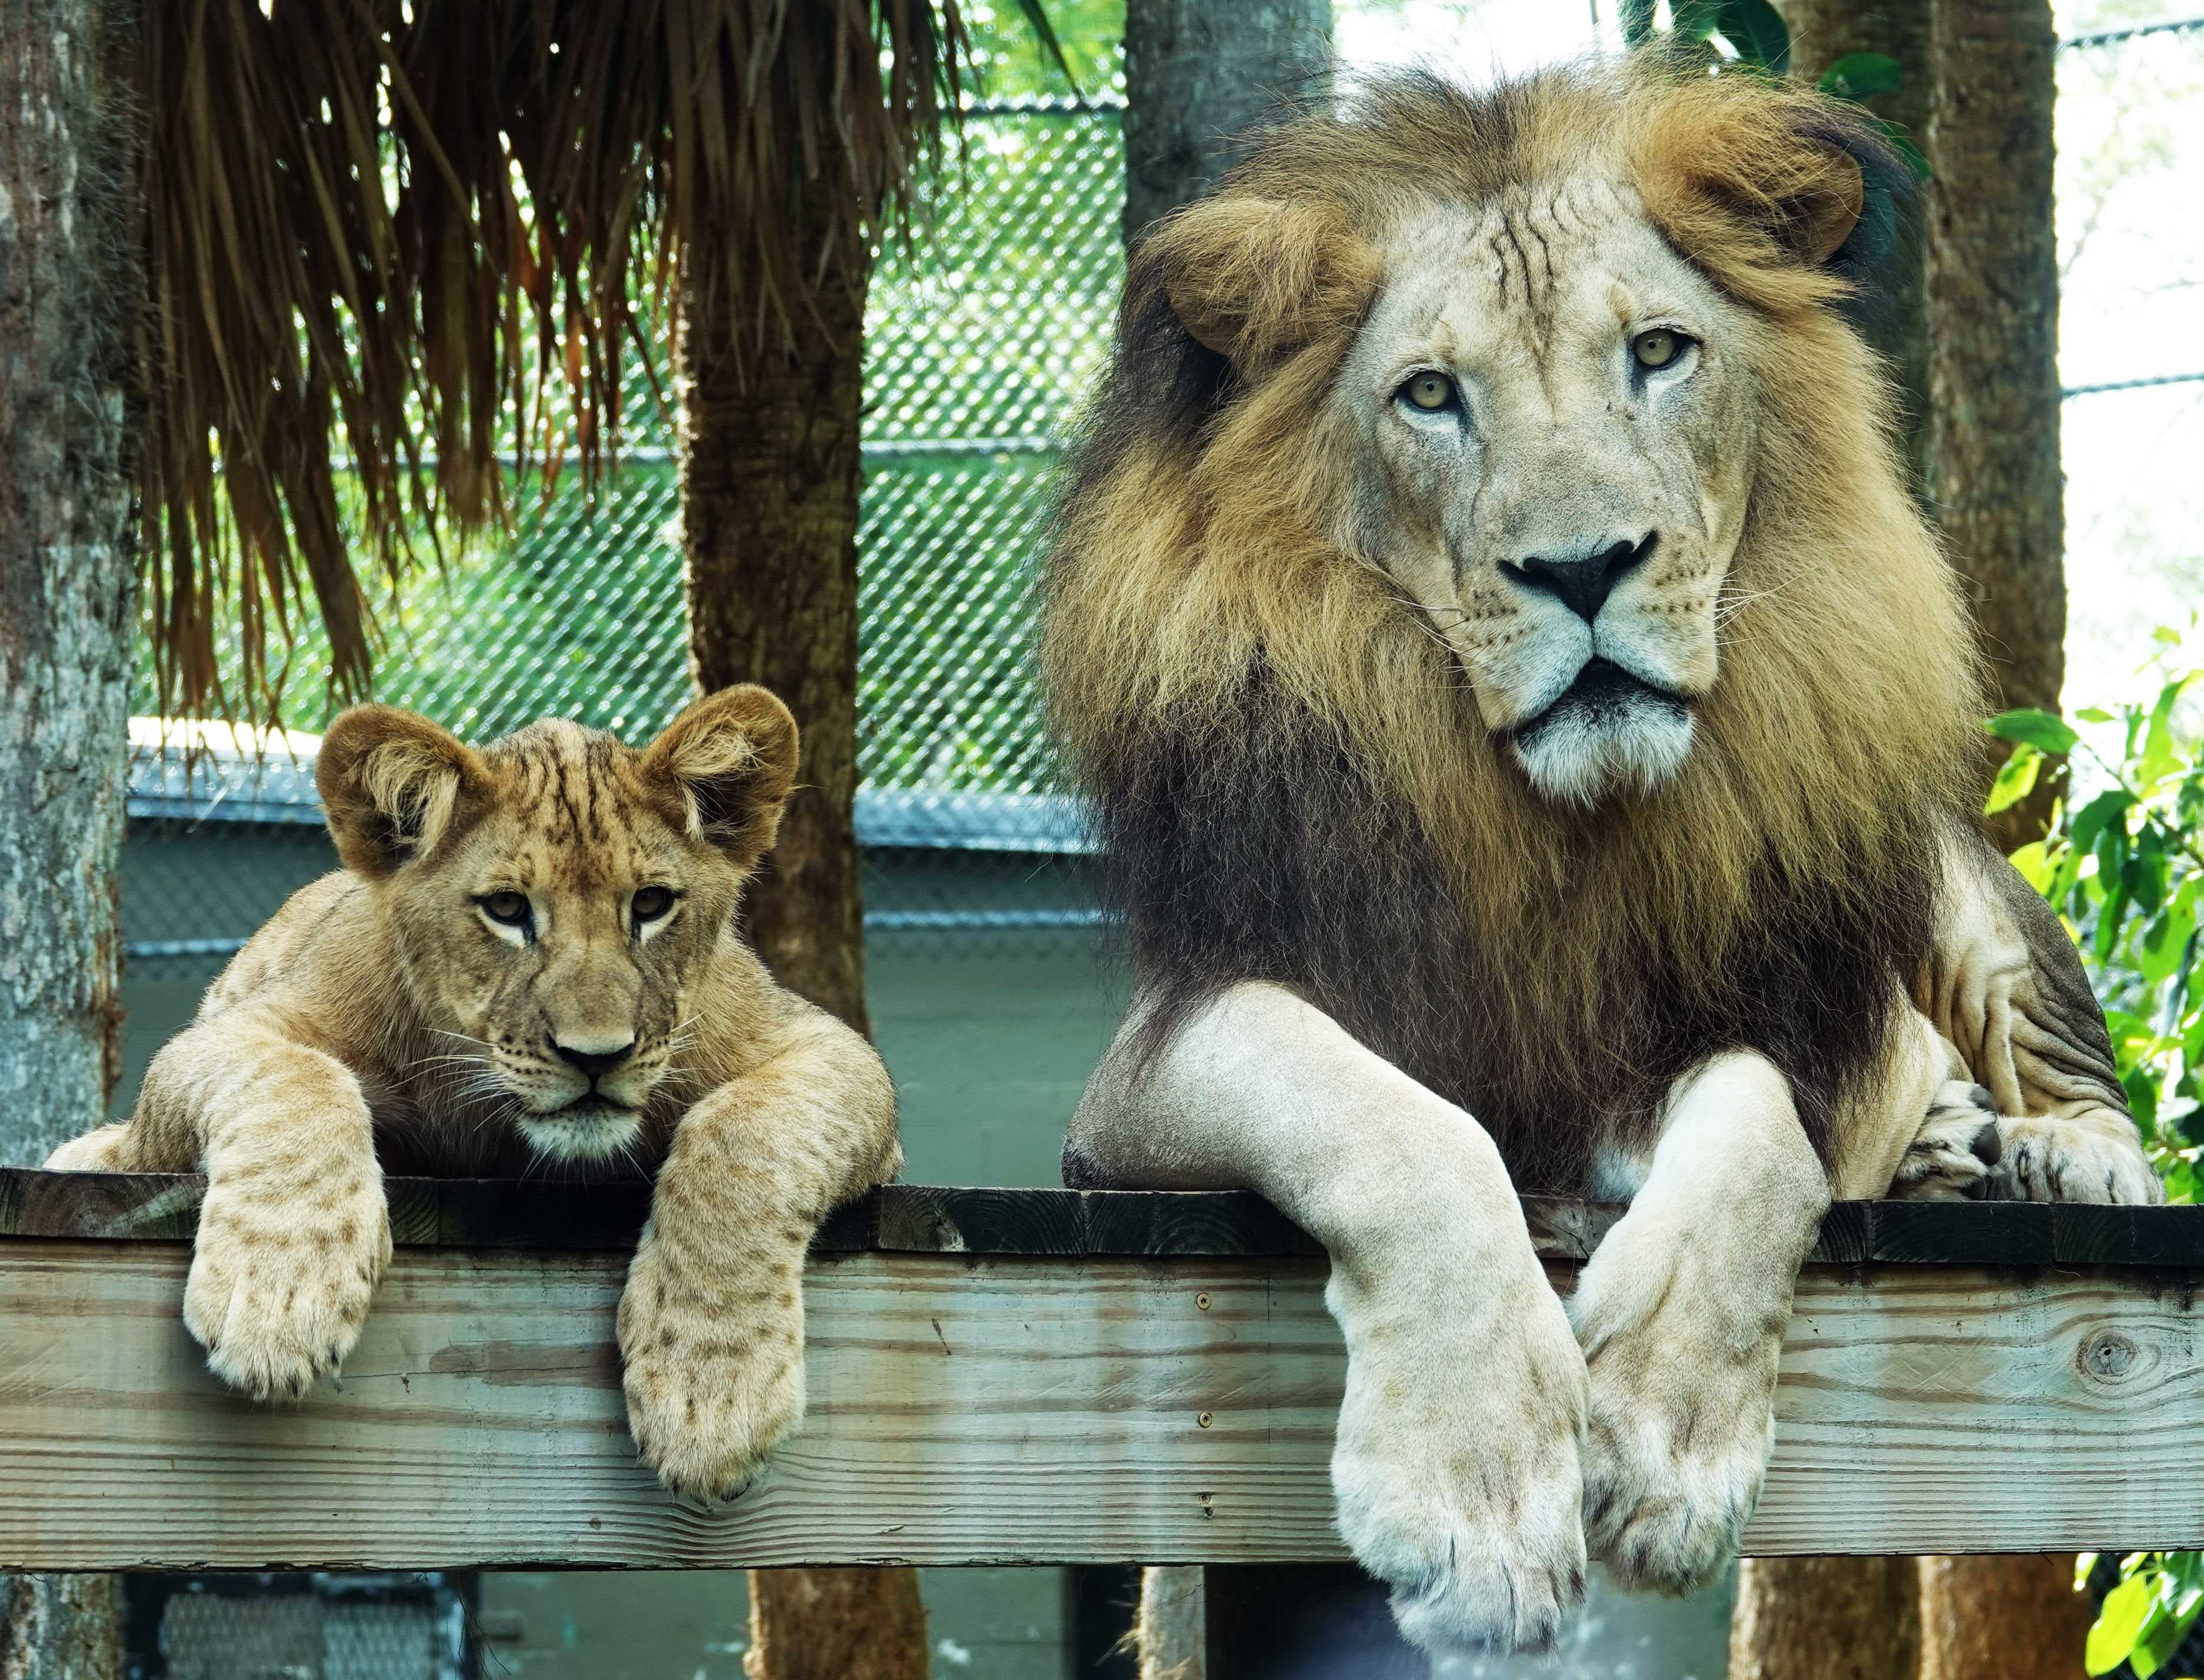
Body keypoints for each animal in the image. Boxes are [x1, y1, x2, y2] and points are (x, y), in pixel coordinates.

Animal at [47, 686, 898, 1500]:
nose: (597, 1056)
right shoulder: (227, 1033)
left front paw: (711, 1395)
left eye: (652, 905)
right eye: (508, 909)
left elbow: (745, 1135)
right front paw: (280, 1301)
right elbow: (297, 1080)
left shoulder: (832, 1052)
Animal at [1039, 61, 2157, 1655]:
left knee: (2059, 1058)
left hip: (1962, 888)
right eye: (1429, 394)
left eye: (1657, 353)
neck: (1559, 824)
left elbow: (1758, 1132)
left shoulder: (1790, 1022)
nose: (1582, 568)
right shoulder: (1150, 1069)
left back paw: (2058, 1155)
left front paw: (1660, 1443)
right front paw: (1477, 1496)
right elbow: (1397, 1125)